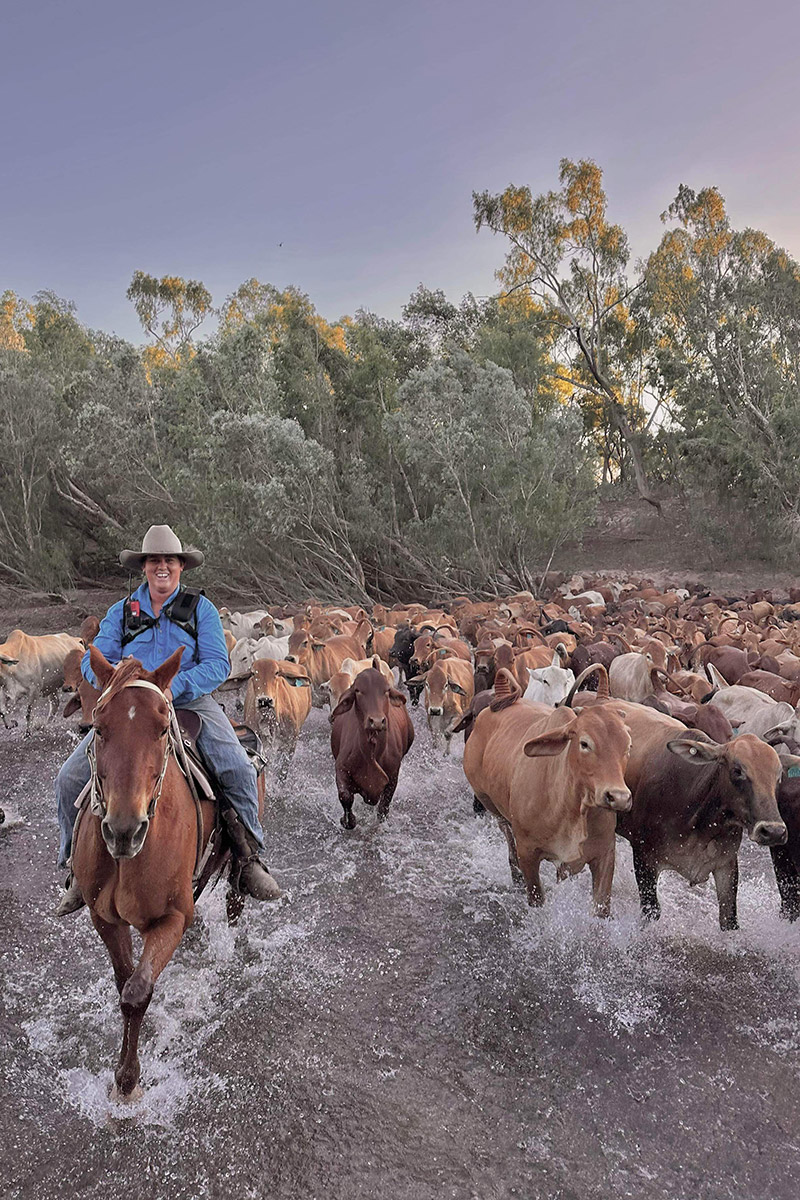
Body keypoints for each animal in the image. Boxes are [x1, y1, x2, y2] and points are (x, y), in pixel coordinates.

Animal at [71, 648, 231, 1099]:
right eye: (99, 728)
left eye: (161, 729)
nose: (125, 829)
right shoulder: (104, 918)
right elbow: (124, 981)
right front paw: (123, 1075)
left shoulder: (172, 918)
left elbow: (137, 992)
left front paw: (128, 1082)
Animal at [328, 662, 412, 830]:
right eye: (358, 690)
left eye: (386, 690)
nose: (377, 721)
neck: (371, 753)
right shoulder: (341, 768)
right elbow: (345, 796)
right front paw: (348, 820)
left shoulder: (393, 776)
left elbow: (383, 809)